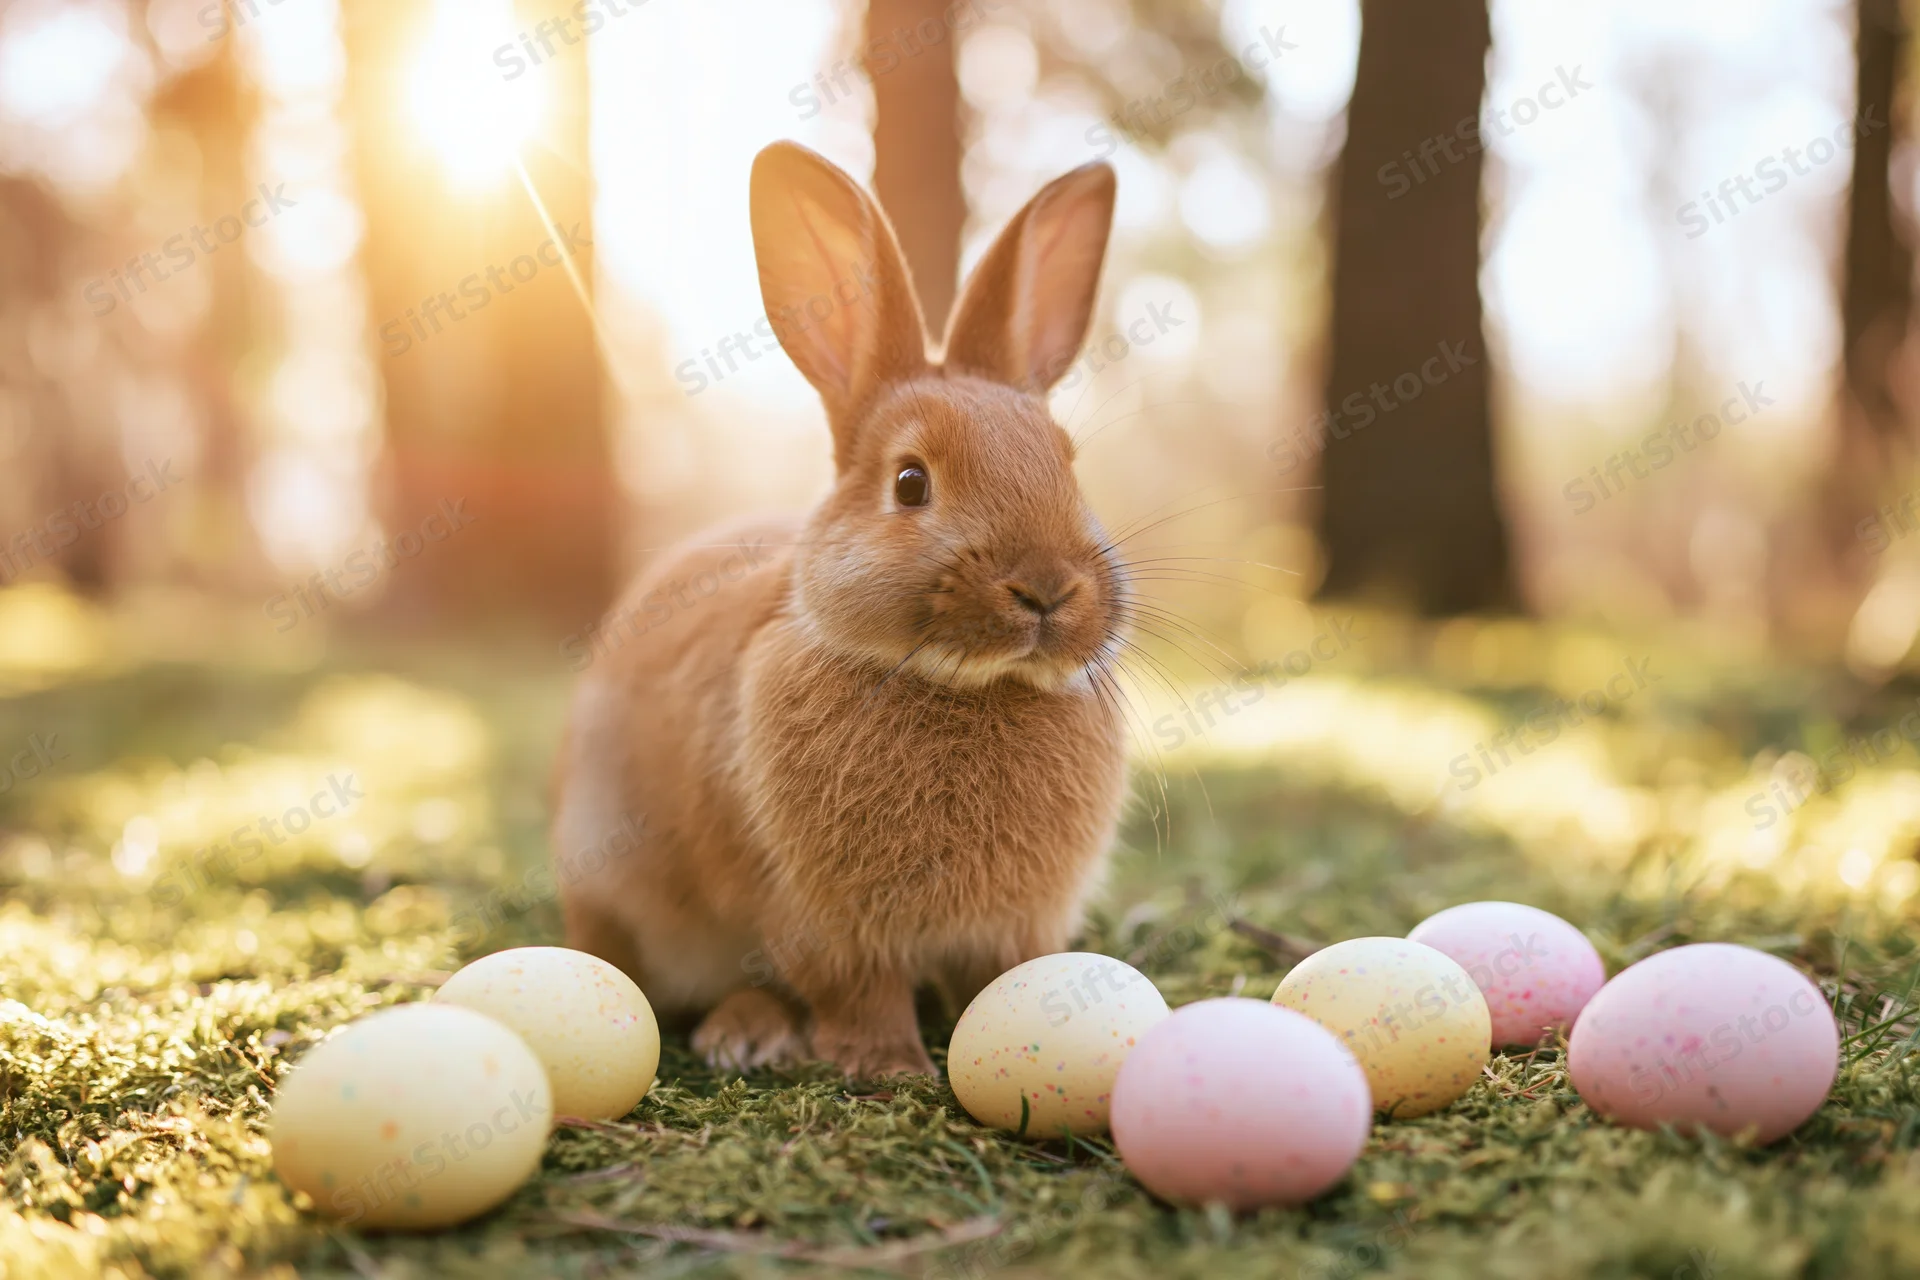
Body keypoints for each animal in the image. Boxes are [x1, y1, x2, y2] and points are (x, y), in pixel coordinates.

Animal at [551, 140, 1131, 1079]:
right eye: (910, 482)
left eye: (1068, 465)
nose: (1047, 588)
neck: (968, 686)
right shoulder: (822, 922)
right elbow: (858, 991)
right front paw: (886, 1068)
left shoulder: (1014, 928)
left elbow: (1000, 979)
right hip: (611, 883)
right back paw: (744, 1032)